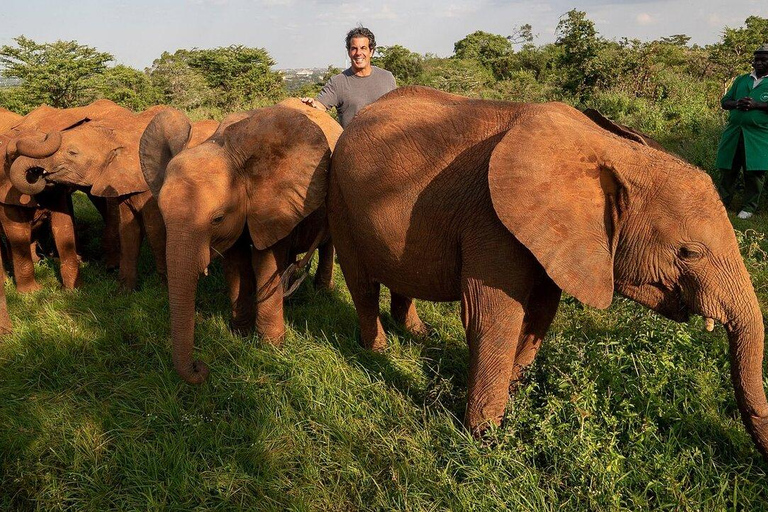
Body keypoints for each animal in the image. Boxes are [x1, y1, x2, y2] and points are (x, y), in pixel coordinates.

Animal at [5, 99, 218, 290]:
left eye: (72, 152)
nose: (39, 175)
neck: (117, 138)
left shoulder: (148, 186)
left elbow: (155, 230)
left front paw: (163, 287)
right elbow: (128, 231)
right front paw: (124, 290)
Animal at [139, 98, 342, 384]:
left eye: (217, 218)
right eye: (163, 215)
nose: (201, 367)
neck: (223, 145)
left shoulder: (272, 205)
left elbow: (264, 264)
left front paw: (270, 348)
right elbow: (237, 266)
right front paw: (239, 335)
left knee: (326, 244)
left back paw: (322, 291)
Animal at [327, 86, 768, 461]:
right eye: (689, 253)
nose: (752, 457)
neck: (611, 151)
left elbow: (541, 312)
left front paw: (514, 394)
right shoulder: (492, 219)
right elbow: (494, 318)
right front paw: (486, 442)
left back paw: (419, 335)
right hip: (340, 197)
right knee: (361, 283)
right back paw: (378, 350)